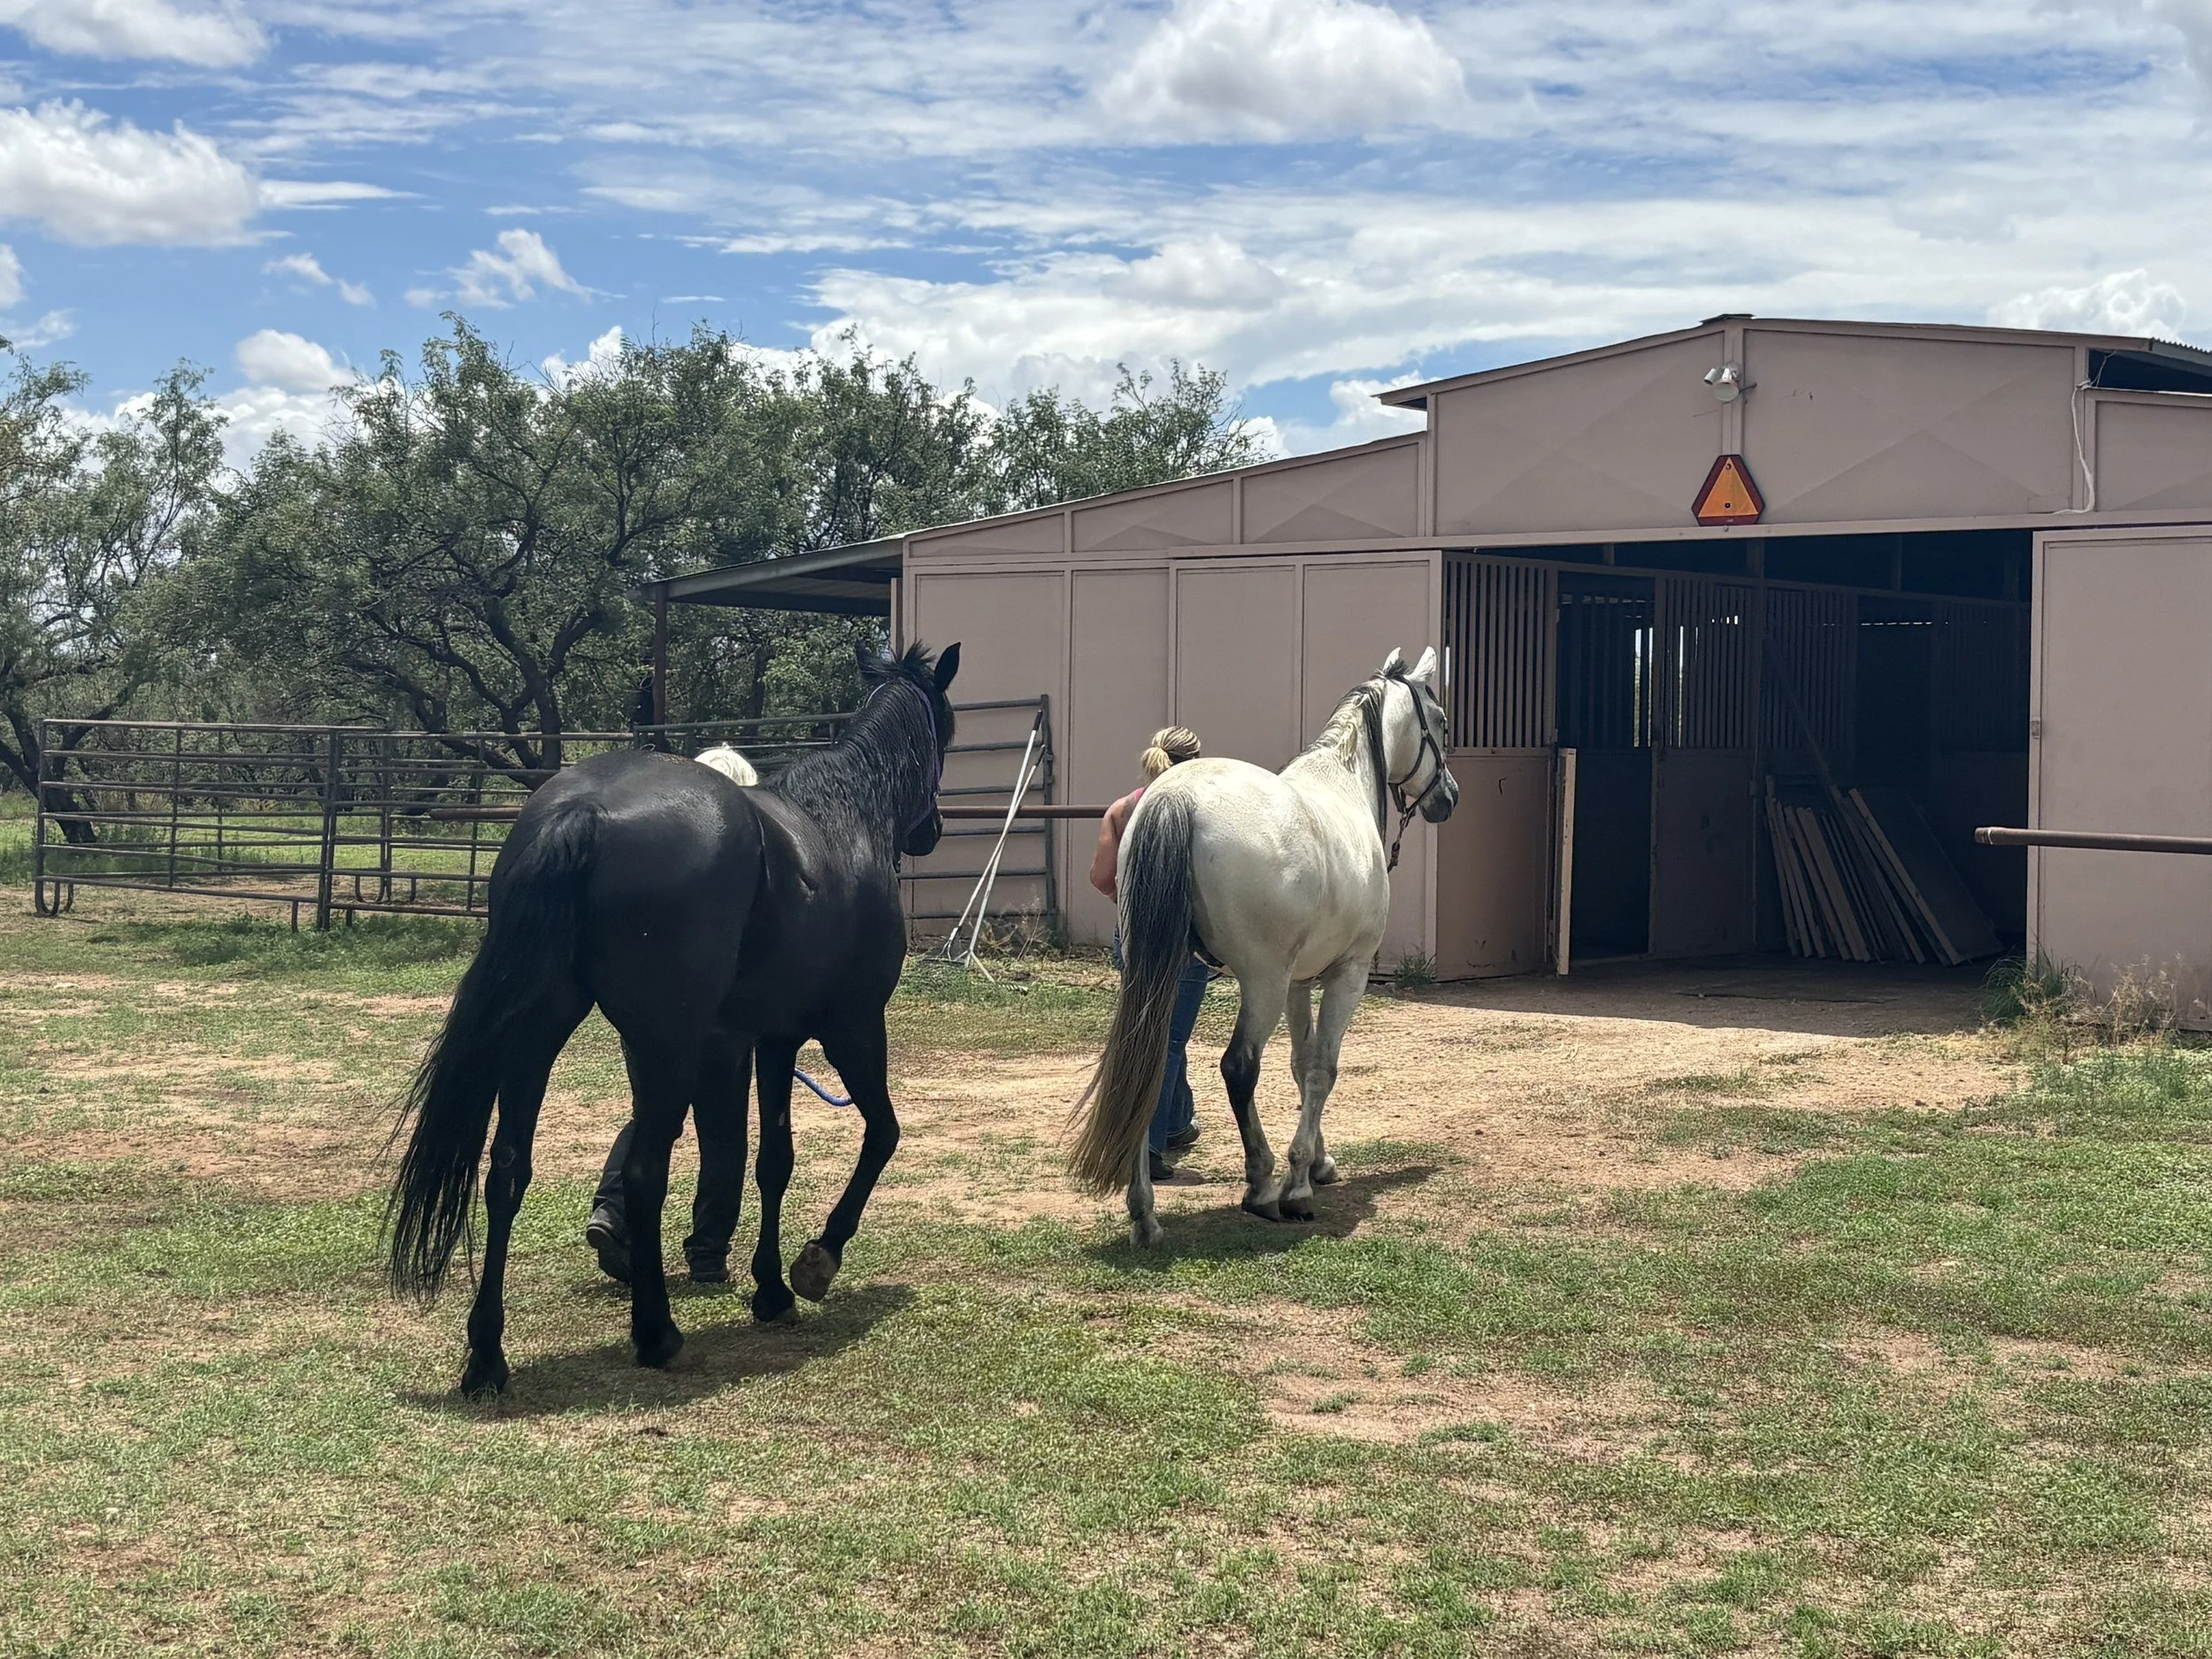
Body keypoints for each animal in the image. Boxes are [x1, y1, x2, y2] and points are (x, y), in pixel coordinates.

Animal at [387, 641, 960, 1395]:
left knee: (508, 1169)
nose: (934, 830)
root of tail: (585, 809)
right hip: (667, 1045)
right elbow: (882, 1135)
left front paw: (771, 1289)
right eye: (946, 724)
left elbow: (773, 1159)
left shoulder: (770, 1037)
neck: (843, 821)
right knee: (644, 1172)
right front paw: (815, 1262)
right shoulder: (853, 1026)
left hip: (541, 1032)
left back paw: (487, 1354)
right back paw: (656, 1332)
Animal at [1070, 647, 1459, 1246]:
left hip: (1160, 977)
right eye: (1438, 721)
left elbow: (1301, 1066)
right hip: (1262, 982)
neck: (1341, 784)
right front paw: (1299, 1184)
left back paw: (1145, 1213)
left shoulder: (1301, 980)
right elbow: (1322, 1068)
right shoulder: (1346, 974)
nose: (1449, 796)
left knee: (1147, 1065)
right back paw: (1261, 1183)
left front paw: (1319, 1164)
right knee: (1239, 1067)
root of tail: (1178, 796)